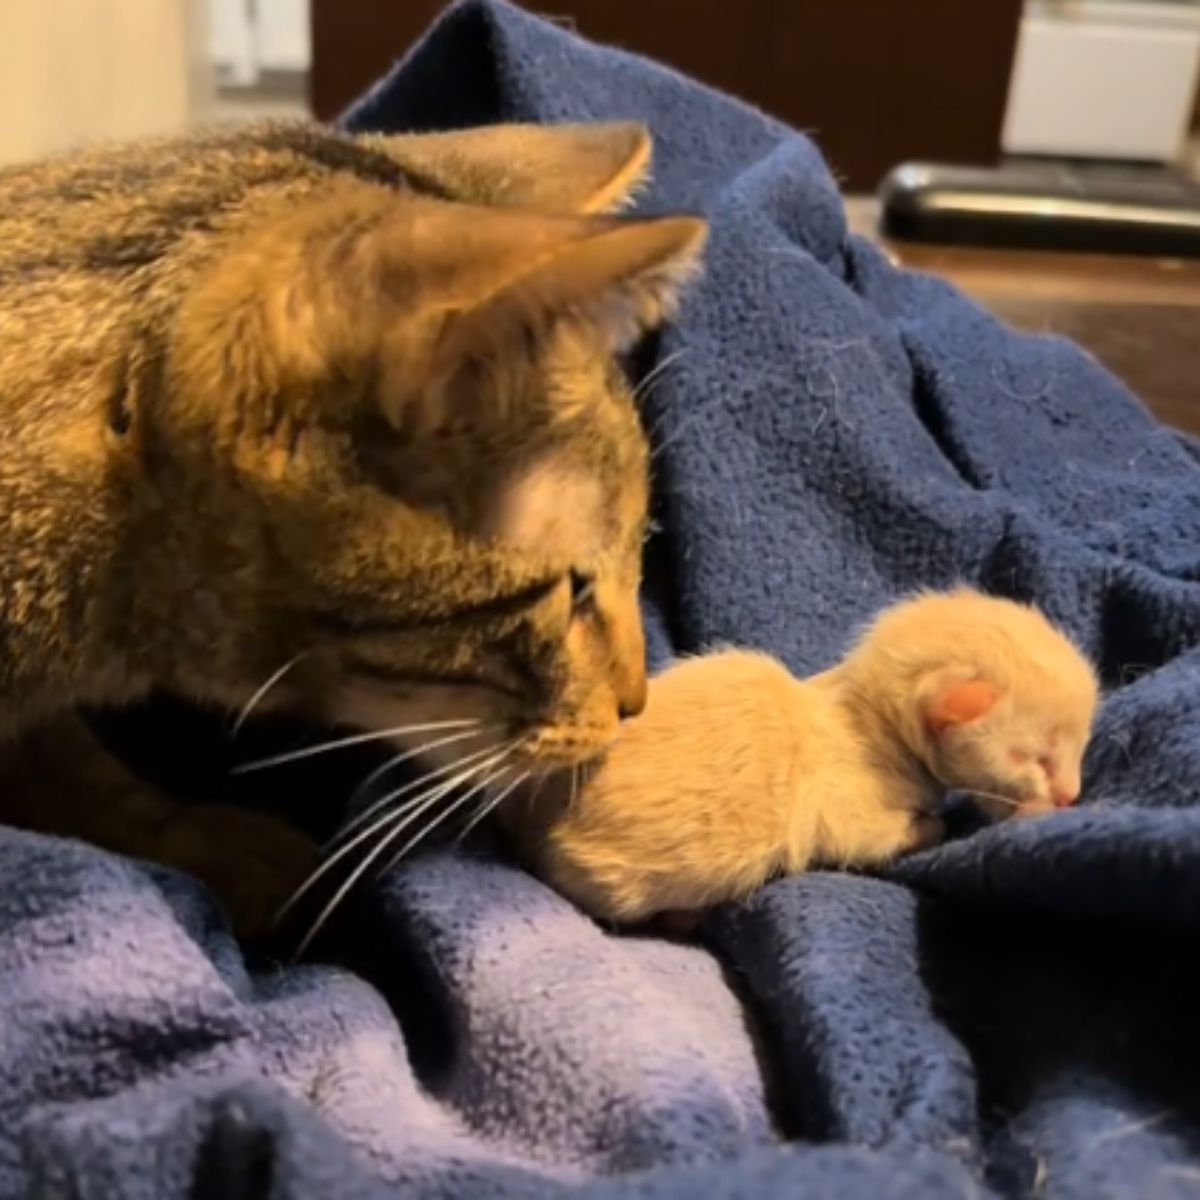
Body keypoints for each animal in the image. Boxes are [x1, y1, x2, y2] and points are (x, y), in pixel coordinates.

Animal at [506, 588, 1099, 916]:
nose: (1071, 795)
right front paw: (942, 824)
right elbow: (885, 835)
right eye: (1035, 758)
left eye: (1077, 747)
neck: (863, 717)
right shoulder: (847, 814)